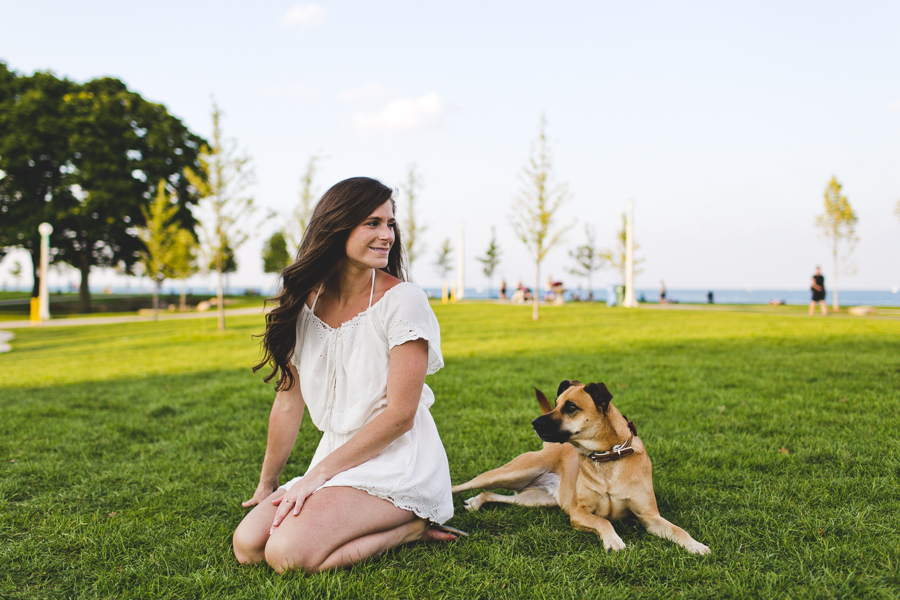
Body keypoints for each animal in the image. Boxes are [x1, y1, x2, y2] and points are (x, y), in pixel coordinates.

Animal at [450, 380, 712, 552]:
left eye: (571, 407)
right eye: (556, 403)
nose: (534, 423)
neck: (608, 456)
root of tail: (549, 448)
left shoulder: (649, 516)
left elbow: (677, 529)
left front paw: (696, 545)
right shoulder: (578, 512)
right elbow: (604, 521)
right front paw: (614, 541)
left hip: (535, 499)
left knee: (493, 494)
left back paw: (475, 502)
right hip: (512, 472)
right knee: (464, 485)